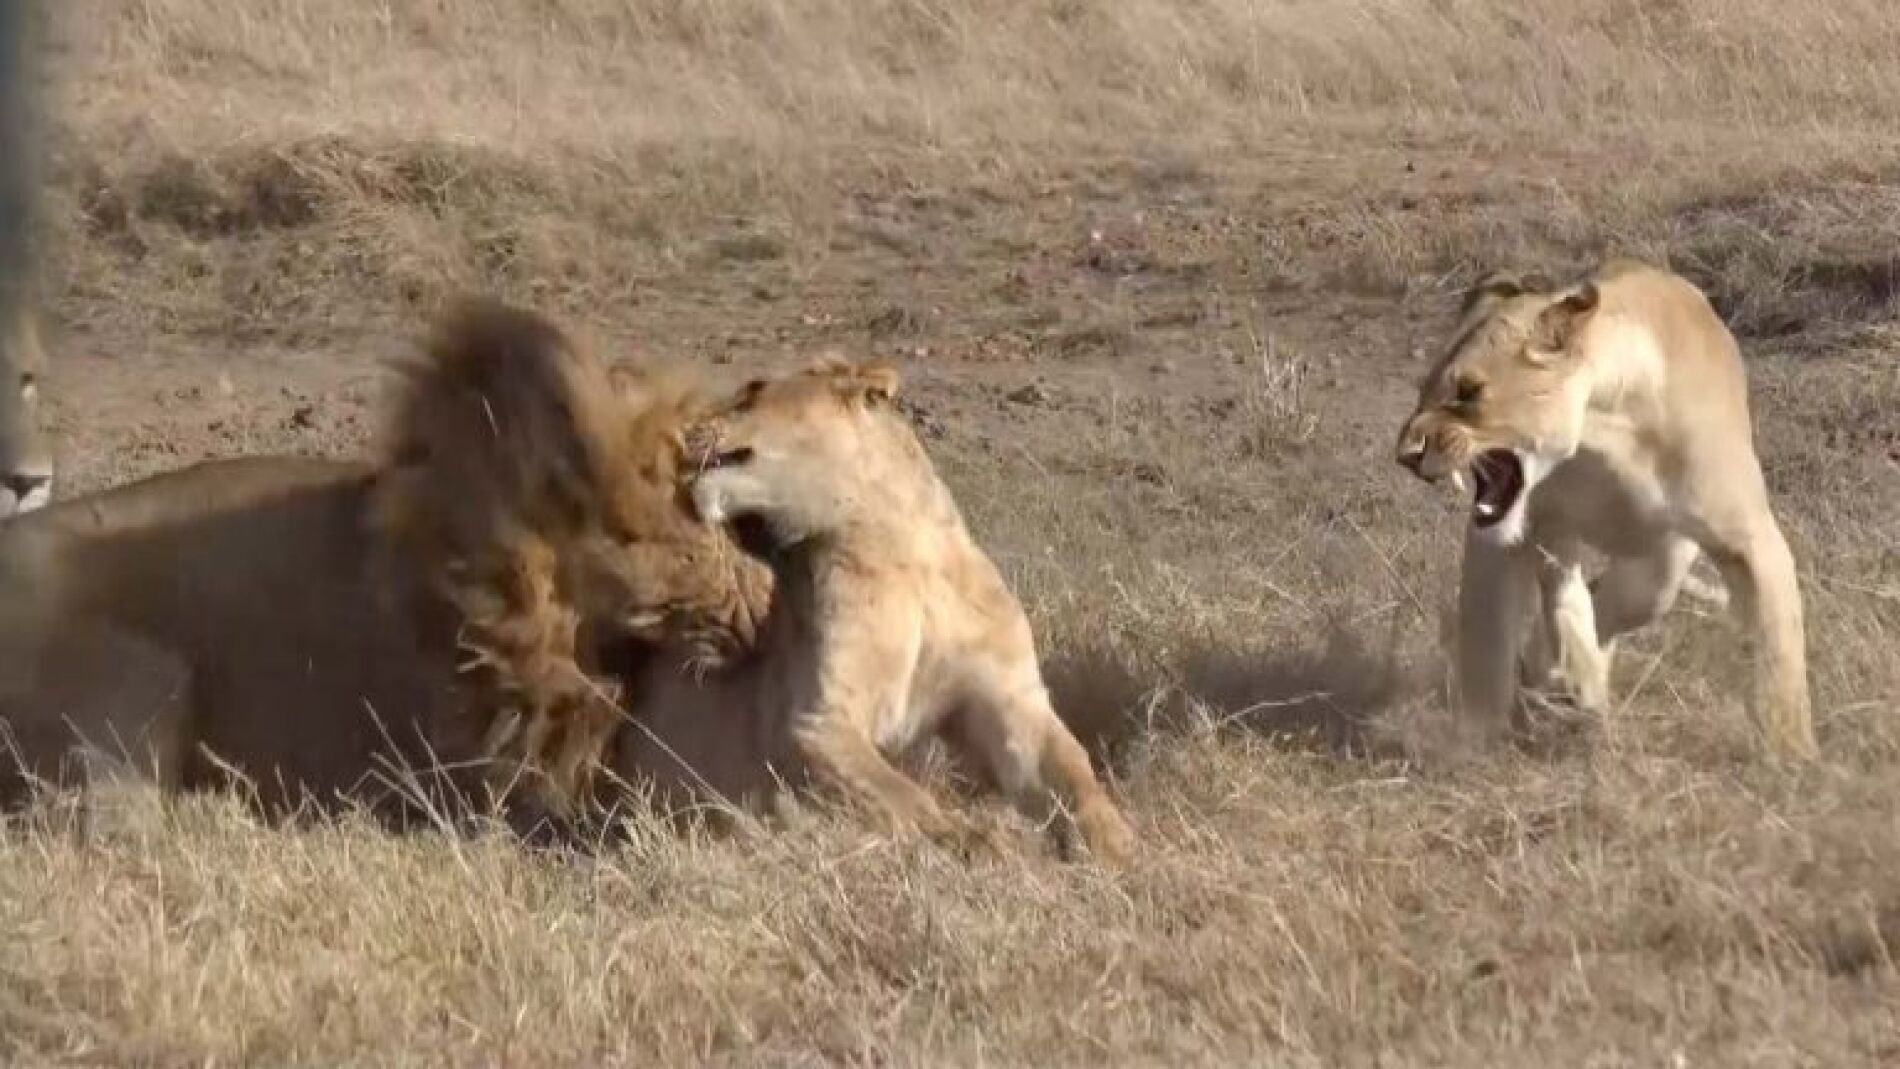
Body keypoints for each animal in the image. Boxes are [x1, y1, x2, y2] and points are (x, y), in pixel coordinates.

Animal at [610, 356, 1136, 864]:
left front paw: (1115, 843)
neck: (906, 551)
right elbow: (900, 794)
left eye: (753, 391)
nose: (677, 431)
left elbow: (1074, 768)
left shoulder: (1012, 702)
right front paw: (974, 840)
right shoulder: (818, 720)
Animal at [1394, 258, 1814, 760]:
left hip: (1662, 561)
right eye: (1424, 390)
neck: (1603, 432)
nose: (1406, 455)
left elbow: (1780, 654)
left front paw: (1796, 757)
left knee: (1622, 599)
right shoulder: (1527, 530)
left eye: (1468, 391)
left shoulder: (1750, 540)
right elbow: (1526, 627)